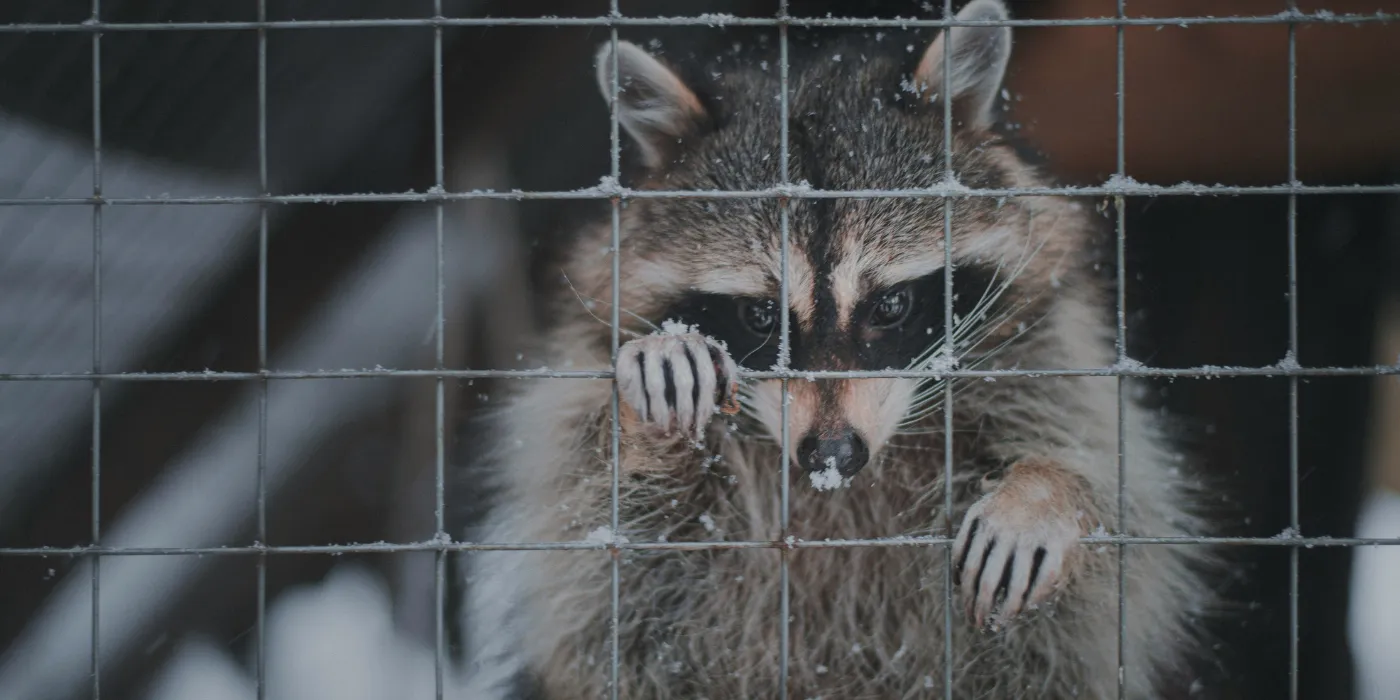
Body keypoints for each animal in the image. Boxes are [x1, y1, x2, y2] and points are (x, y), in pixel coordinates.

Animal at [459, 1, 1212, 697]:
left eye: (891, 306)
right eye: (760, 315)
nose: (830, 455)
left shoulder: (1045, 350)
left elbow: (1124, 508)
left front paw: (1047, 492)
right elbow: (590, 544)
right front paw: (650, 393)